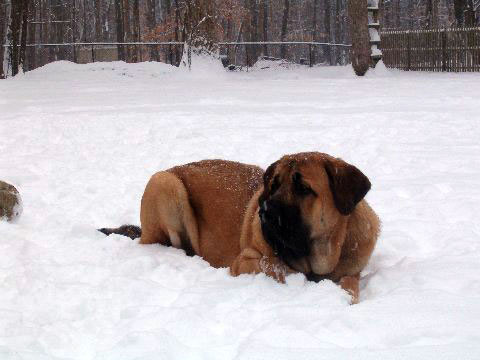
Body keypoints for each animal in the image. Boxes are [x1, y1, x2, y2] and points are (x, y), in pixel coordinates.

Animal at [99, 153, 380, 304]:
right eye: (274, 185)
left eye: (303, 188)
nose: (264, 211)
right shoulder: (245, 262)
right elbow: (277, 267)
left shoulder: (352, 269)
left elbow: (350, 282)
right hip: (166, 184)